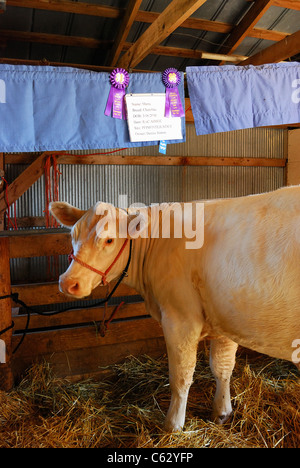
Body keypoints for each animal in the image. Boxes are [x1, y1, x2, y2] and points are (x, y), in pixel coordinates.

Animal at [50, 186, 300, 432]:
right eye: (72, 236)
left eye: (109, 240)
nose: (68, 283)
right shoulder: (225, 317)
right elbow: (222, 368)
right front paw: (222, 412)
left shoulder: (180, 318)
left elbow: (181, 377)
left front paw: (173, 425)